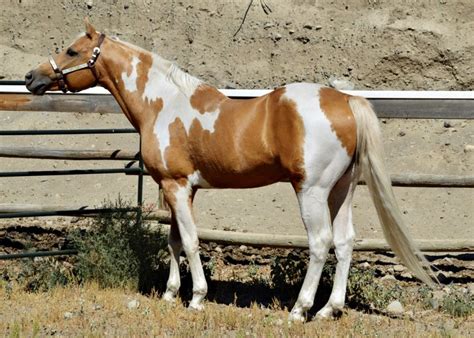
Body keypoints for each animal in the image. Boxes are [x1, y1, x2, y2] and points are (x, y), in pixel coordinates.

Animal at [24, 21, 436, 322]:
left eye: (72, 51)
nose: (31, 78)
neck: (162, 103)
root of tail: (345, 100)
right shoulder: (182, 189)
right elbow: (174, 241)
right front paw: (171, 294)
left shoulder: (176, 186)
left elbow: (191, 242)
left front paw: (197, 298)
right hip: (342, 191)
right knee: (346, 242)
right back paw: (328, 310)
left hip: (312, 191)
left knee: (321, 243)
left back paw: (300, 310)